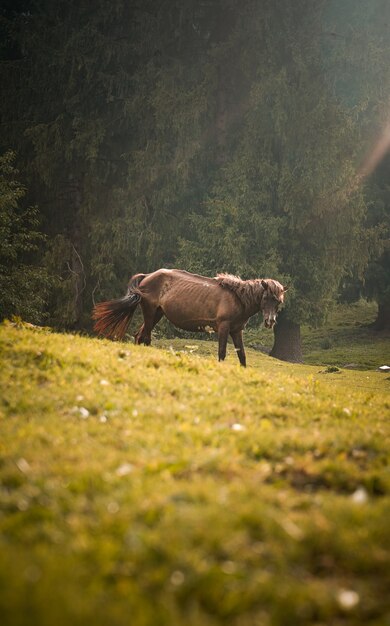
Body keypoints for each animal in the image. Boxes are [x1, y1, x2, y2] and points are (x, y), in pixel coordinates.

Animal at [92, 268, 286, 366]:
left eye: (278, 302)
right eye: (266, 298)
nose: (270, 321)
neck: (237, 297)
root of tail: (147, 276)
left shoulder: (237, 331)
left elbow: (243, 356)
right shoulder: (223, 328)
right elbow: (222, 353)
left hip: (157, 314)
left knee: (140, 337)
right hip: (150, 312)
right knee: (144, 337)